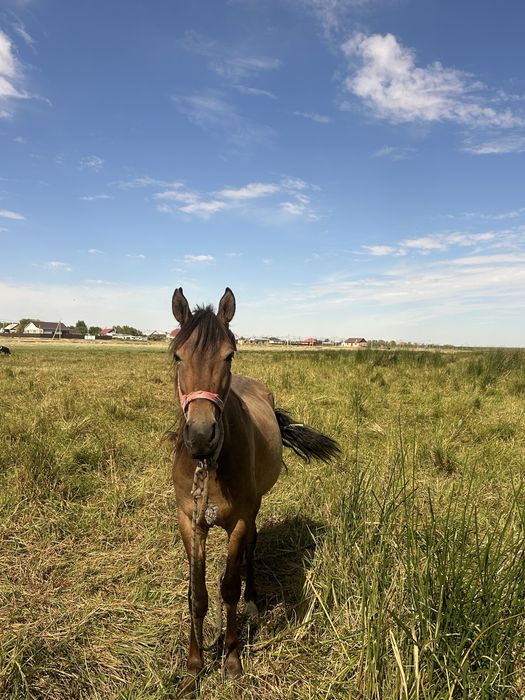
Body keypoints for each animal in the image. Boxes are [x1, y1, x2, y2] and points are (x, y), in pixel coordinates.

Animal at [170, 287, 340, 692]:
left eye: (228, 355)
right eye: (177, 356)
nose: (201, 436)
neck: (210, 465)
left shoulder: (238, 520)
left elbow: (229, 588)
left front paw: (231, 658)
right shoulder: (190, 521)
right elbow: (197, 594)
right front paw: (195, 664)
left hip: (256, 506)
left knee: (252, 546)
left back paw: (253, 599)